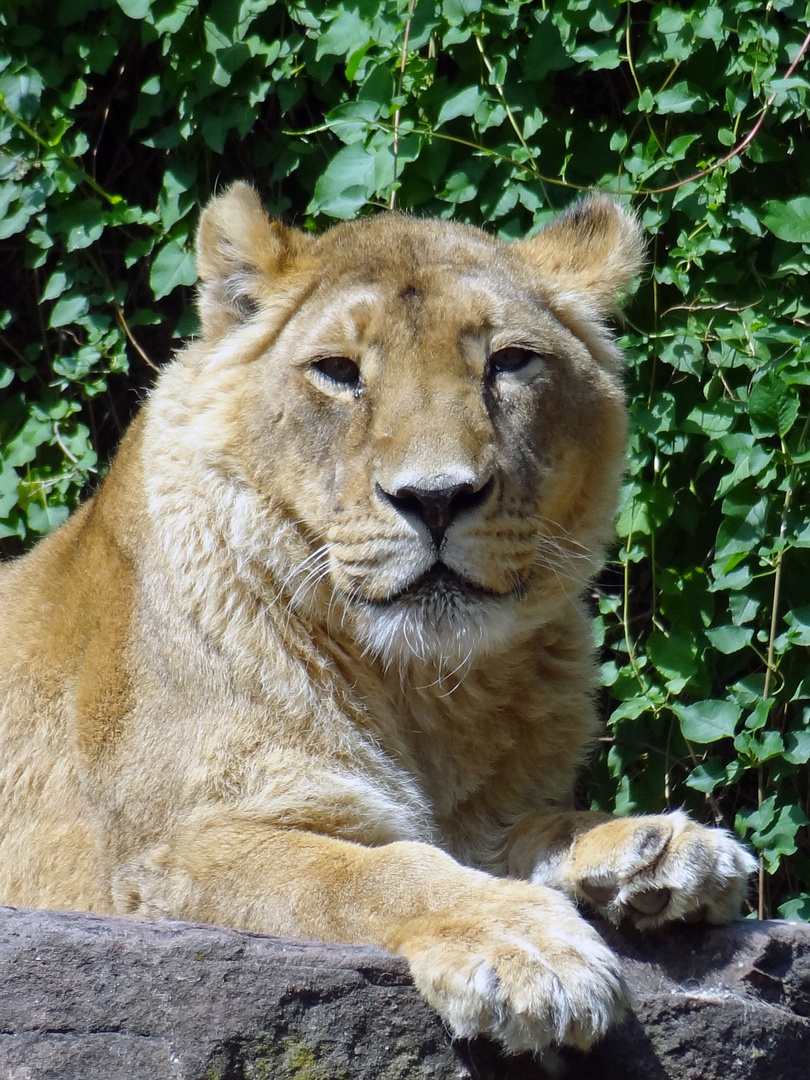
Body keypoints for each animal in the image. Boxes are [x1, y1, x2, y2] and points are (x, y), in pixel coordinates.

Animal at [3, 185, 760, 1054]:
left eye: (509, 361)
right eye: (337, 372)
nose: (436, 498)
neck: (421, 688)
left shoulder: (477, 808)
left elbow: (516, 829)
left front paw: (654, 852)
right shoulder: (164, 857)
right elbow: (372, 870)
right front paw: (526, 947)